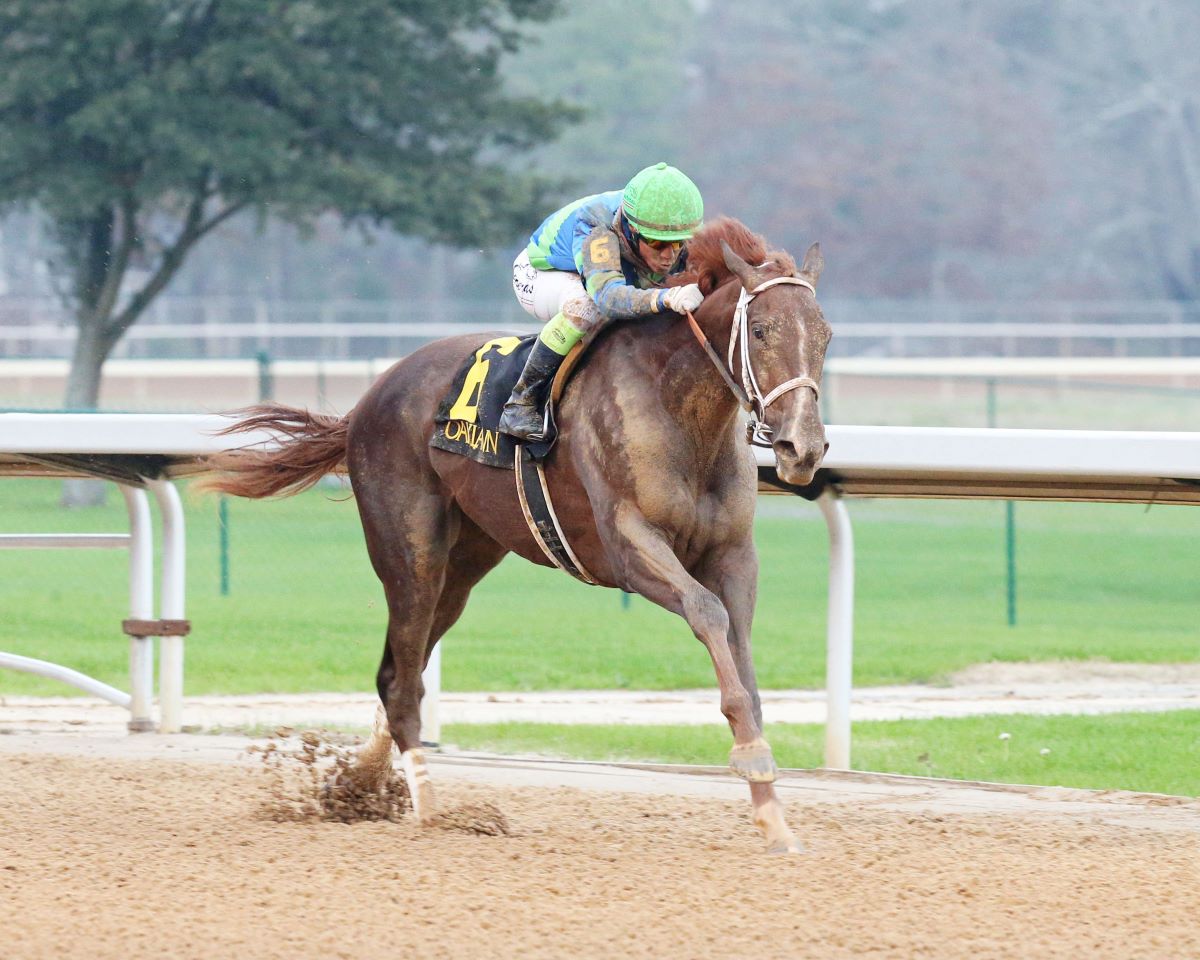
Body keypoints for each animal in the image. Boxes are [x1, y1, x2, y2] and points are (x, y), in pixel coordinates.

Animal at [204, 219, 825, 854]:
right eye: (762, 330)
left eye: (824, 335)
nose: (802, 447)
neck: (679, 408)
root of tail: (368, 400)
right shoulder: (630, 548)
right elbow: (706, 612)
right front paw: (751, 756)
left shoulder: (734, 554)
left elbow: (740, 652)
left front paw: (771, 810)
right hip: (411, 555)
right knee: (402, 682)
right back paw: (430, 809)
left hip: (466, 564)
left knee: (396, 672)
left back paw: (358, 785)